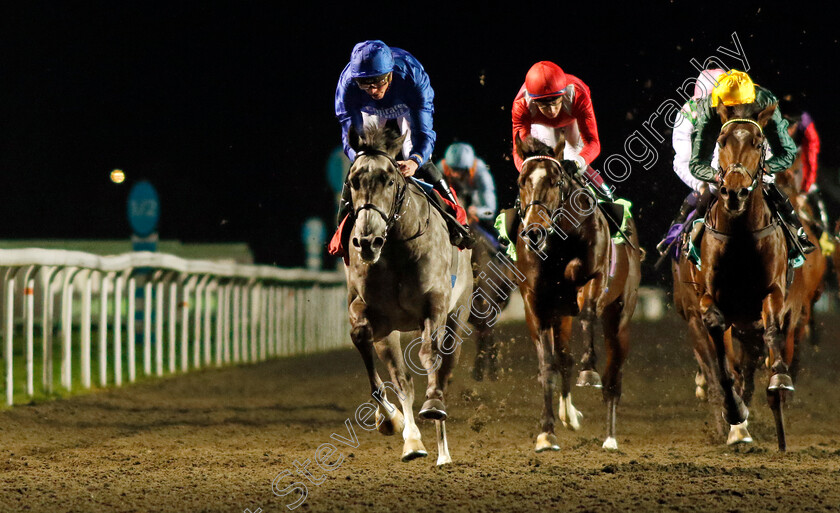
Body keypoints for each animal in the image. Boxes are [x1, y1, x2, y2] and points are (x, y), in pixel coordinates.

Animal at [342, 123, 472, 464]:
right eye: (353, 182)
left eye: (389, 180)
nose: (367, 241)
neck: (397, 249)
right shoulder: (371, 314)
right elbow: (364, 340)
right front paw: (390, 420)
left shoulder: (435, 304)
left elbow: (431, 356)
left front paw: (434, 405)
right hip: (389, 332)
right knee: (403, 380)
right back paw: (413, 442)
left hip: (459, 314)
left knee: (445, 365)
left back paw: (443, 450)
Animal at [512, 134, 644, 450]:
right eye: (522, 181)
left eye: (556, 181)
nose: (534, 232)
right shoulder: (536, 304)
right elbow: (548, 366)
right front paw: (547, 431)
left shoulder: (593, 279)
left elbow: (586, 315)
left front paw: (589, 370)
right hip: (562, 316)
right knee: (564, 360)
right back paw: (569, 415)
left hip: (620, 317)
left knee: (613, 376)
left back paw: (610, 437)